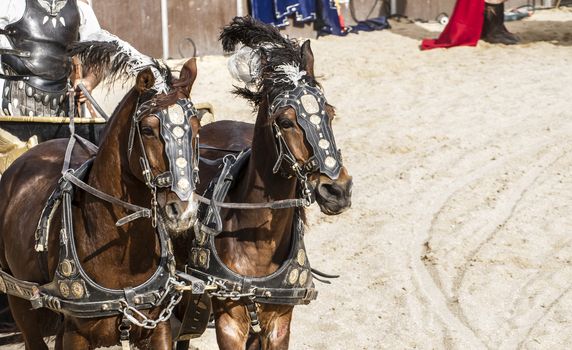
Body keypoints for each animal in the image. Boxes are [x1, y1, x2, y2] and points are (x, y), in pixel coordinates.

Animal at [0, 58, 201, 350]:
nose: (183, 210)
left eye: (196, 129)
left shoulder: (158, 327)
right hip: (19, 299)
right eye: (147, 130)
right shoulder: (77, 335)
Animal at [174, 18, 354, 350]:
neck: (257, 242)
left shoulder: (279, 322)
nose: (338, 190)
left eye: (330, 113)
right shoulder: (229, 323)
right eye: (285, 121)